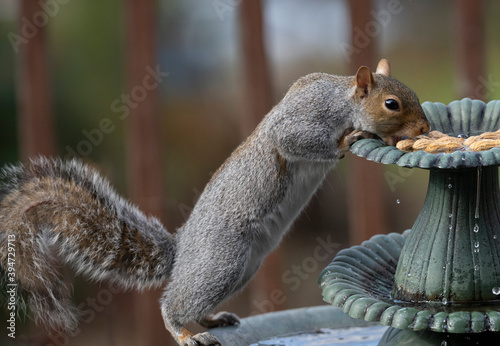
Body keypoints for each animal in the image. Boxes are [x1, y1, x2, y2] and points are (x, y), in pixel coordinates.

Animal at [0, 58, 430, 344]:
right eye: (391, 103)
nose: (426, 127)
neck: (341, 98)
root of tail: (182, 249)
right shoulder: (304, 121)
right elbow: (296, 141)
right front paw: (350, 140)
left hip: (243, 268)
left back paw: (211, 321)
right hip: (222, 261)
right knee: (172, 304)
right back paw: (182, 332)